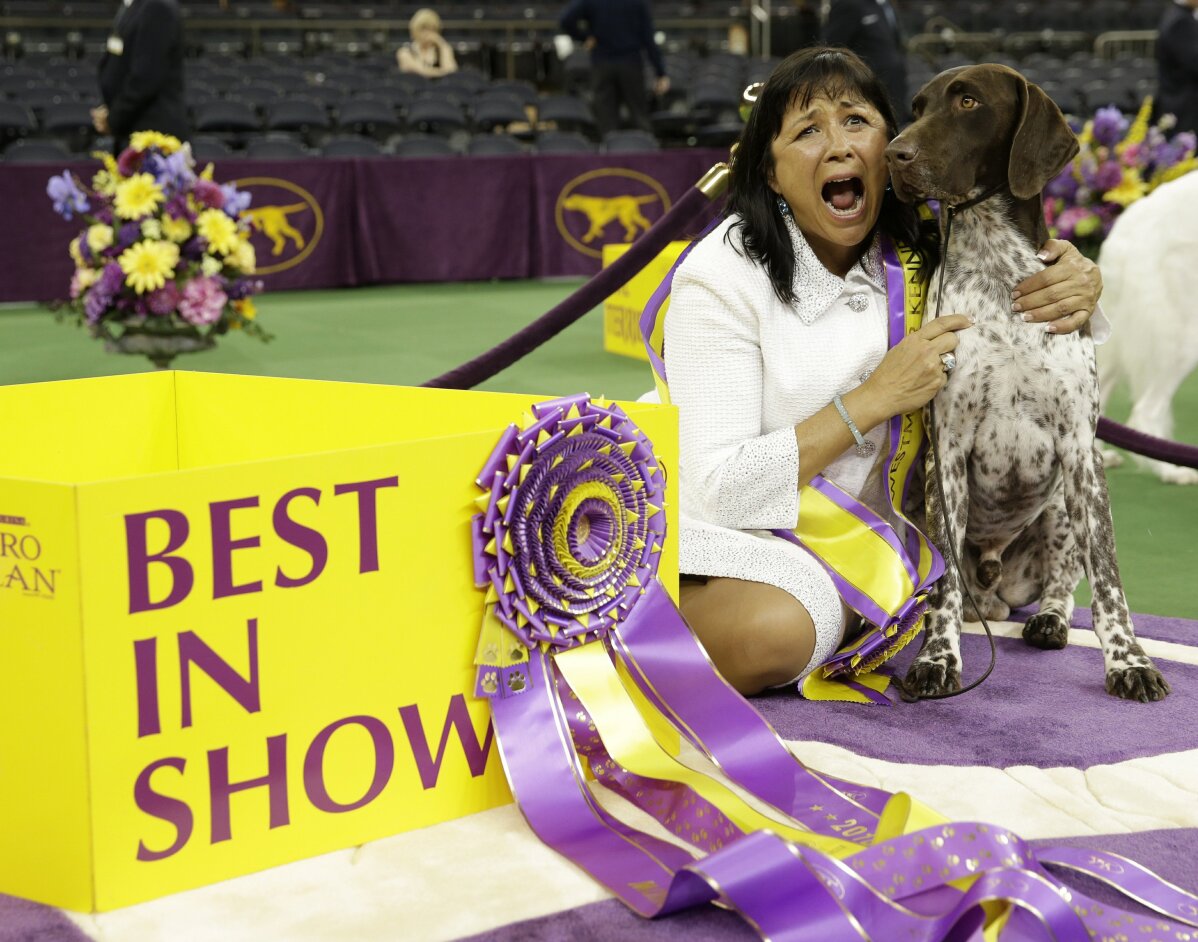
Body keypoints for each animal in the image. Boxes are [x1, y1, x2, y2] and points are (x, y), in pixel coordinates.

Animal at [886, 64, 1174, 695]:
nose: (896, 153)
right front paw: (937, 658)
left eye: (968, 101)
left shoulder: (1081, 451)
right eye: (916, 107)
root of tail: (995, 591)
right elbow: (944, 585)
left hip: (1061, 507)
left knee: (1063, 583)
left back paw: (1049, 620)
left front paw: (1129, 662)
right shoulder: (947, 453)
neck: (997, 268)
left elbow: (1109, 578)